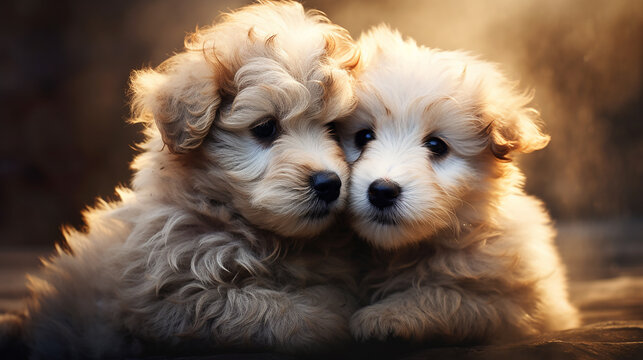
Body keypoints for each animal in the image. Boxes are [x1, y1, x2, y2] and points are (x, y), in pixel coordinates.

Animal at [16, 2, 362, 358]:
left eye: (333, 128)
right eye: (265, 128)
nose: (329, 183)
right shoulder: (166, 295)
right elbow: (239, 305)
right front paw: (322, 315)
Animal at [340, 25, 580, 344]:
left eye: (436, 146)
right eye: (363, 136)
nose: (382, 191)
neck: (403, 251)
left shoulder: (510, 305)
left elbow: (447, 296)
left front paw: (385, 316)